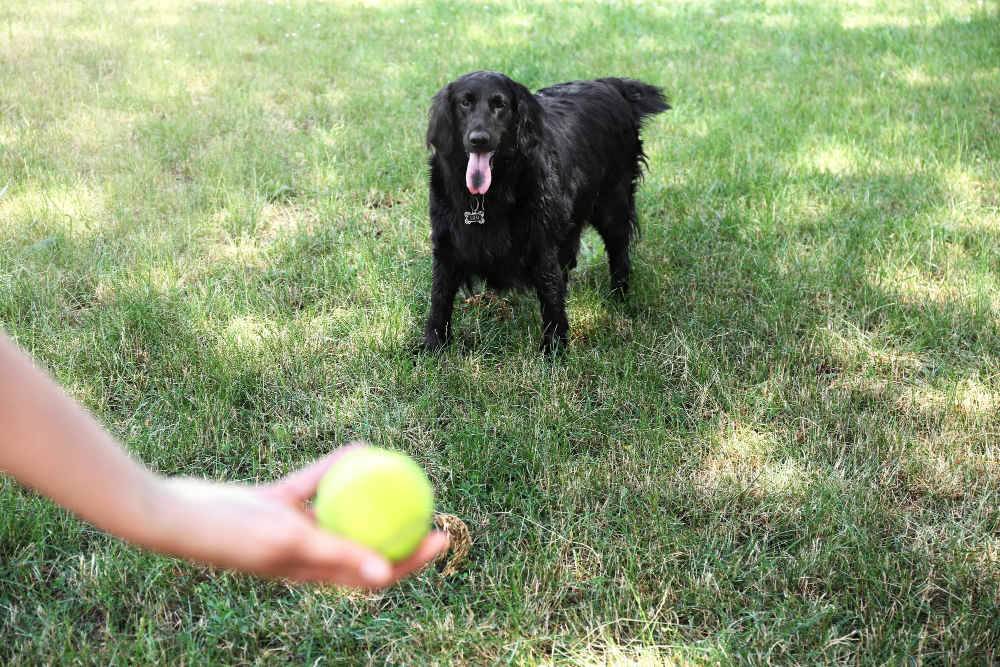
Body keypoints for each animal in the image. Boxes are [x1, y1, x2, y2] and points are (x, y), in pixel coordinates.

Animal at [418, 69, 668, 354]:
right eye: (464, 103)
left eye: (501, 105)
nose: (479, 140)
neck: (491, 193)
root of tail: (610, 84)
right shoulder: (446, 240)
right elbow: (440, 298)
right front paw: (433, 348)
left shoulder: (542, 242)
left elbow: (550, 295)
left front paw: (554, 349)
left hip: (611, 202)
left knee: (619, 251)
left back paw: (618, 296)